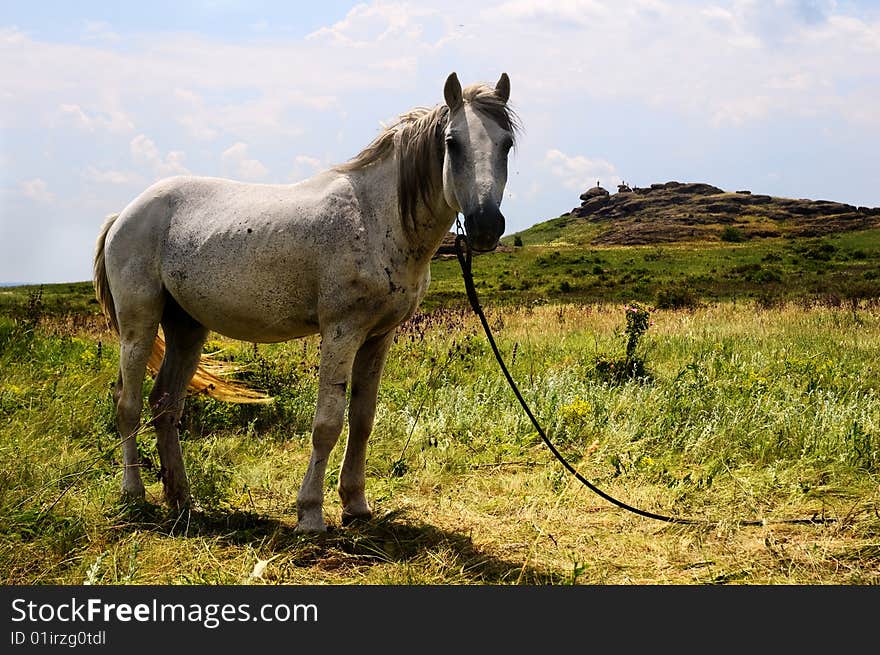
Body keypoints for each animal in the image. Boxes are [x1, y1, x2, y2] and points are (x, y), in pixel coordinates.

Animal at [93, 73, 520, 532]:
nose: (485, 226)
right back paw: (134, 494)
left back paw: (182, 499)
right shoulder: (341, 332)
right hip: (139, 323)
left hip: (186, 328)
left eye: (506, 143)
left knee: (165, 405)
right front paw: (310, 513)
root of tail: (124, 214)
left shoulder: (378, 337)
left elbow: (362, 420)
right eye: (452, 142)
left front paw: (355, 503)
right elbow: (328, 423)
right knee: (128, 403)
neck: (375, 218)